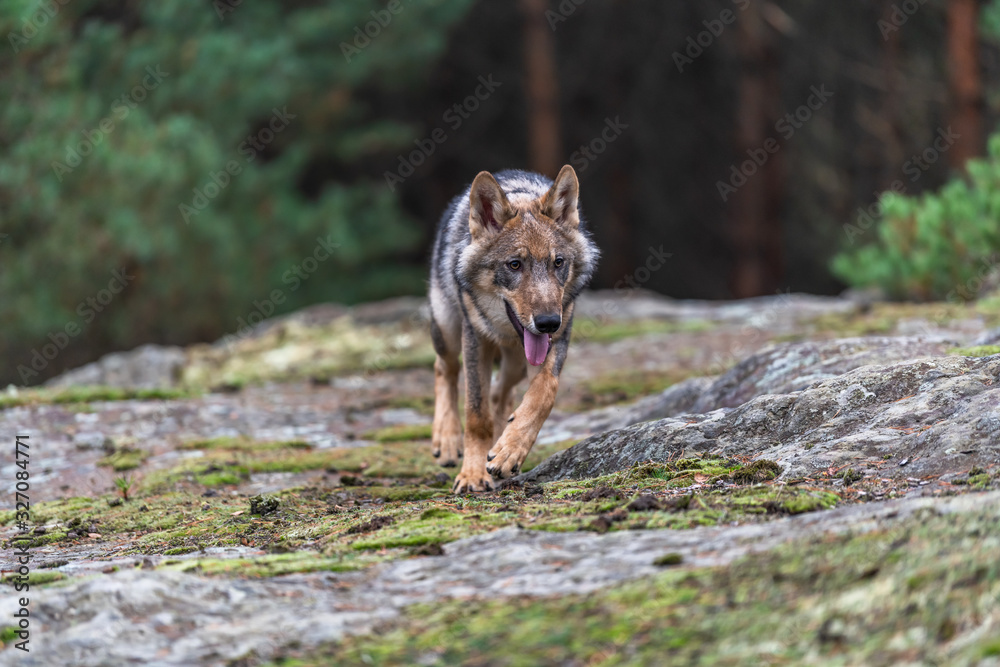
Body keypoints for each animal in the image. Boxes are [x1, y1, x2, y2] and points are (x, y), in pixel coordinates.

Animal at [428, 165, 599, 493]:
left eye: (558, 262)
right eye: (515, 264)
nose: (548, 322)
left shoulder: (558, 339)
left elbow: (543, 393)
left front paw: (508, 451)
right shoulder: (476, 339)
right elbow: (476, 414)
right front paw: (472, 474)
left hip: (517, 365)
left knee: (500, 393)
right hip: (448, 330)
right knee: (444, 368)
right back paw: (447, 441)